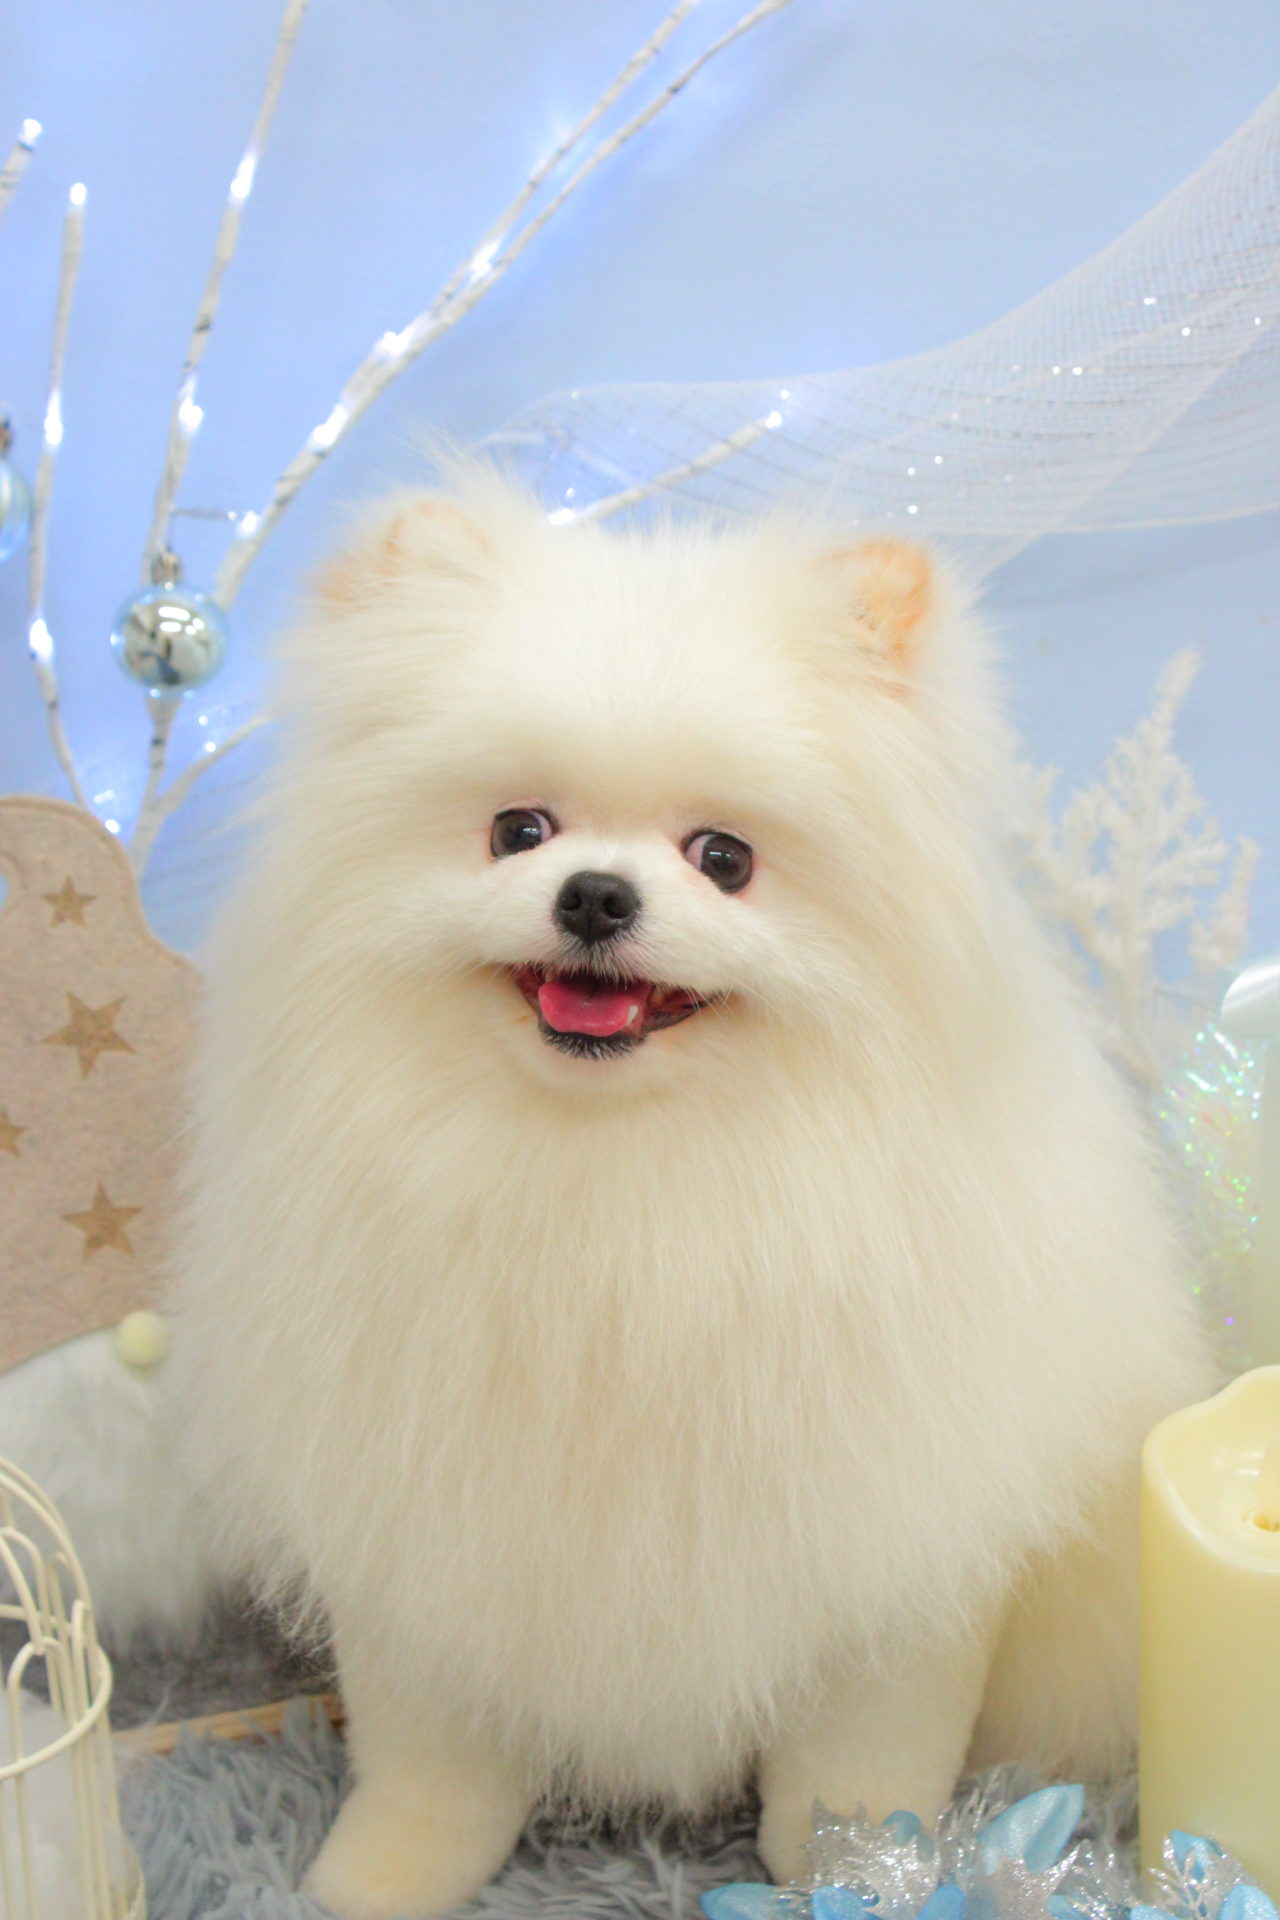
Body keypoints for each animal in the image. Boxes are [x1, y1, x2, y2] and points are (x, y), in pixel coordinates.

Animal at [174, 471, 1212, 1917]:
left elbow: (855, 1774)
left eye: (724, 858)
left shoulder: (890, 1558)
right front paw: (364, 1883)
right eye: (517, 830)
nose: (595, 894)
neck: (623, 1180)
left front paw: (861, 1875)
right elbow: (429, 1771)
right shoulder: (424, 1530)